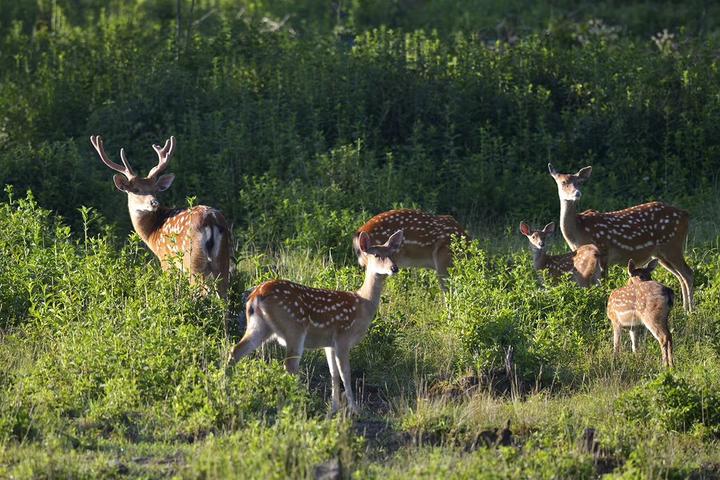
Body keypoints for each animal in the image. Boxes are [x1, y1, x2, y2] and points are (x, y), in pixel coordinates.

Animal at [90, 135, 231, 298]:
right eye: (136, 190)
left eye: (155, 189)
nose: (154, 202)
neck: (153, 233)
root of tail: (211, 221)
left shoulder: (165, 259)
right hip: (223, 258)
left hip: (192, 259)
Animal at [226, 229, 402, 412]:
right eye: (376, 255)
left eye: (392, 253)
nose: (394, 268)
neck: (363, 304)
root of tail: (256, 295)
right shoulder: (343, 336)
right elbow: (345, 373)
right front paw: (354, 409)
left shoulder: (329, 343)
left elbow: (333, 373)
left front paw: (334, 407)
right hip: (294, 327)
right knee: (290, 365)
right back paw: (298, 401)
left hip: (260, 326)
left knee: (236, 350)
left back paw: (227, 388)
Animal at [548, 165, 696, 312]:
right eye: (563, 182)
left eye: (580, 182)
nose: (577, 193)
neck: (578, 232)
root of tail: (685, 214)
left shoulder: (603, 250)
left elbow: (603, 283)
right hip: (660, 254)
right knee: (680, 276)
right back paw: (685, 309)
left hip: (672, 245)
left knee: (688, 273)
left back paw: (690, 310)